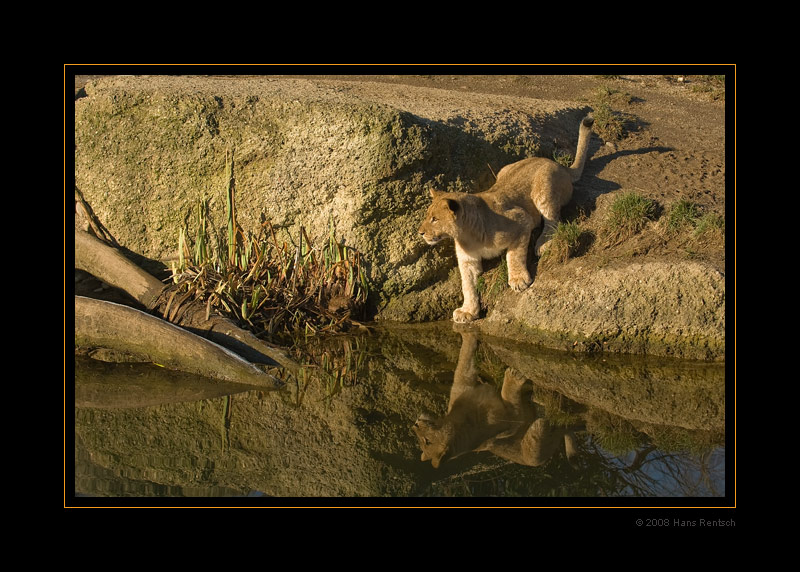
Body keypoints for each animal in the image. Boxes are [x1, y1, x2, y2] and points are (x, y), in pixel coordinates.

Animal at [412, 331, 581, 469]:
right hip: (533, 451)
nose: (415, 424)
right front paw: (514, 376)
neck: (458, 421)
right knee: (552, 425)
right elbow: (511, 401)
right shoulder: (510, 421)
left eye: (426, 441)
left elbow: (465, 357)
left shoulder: (464, 380)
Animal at [418, 115, 594, 323]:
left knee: (553, 220)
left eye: (434, 219)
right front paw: (468, 311)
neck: (467, 235)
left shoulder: (521, 221)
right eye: (428, 216)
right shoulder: (467, 260)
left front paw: (518, 279)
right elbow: (467, 286)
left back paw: (543, 243)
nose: (420, 233)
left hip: (543, 189)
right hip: (505, 170)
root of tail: (558, 164)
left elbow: (514, 254)